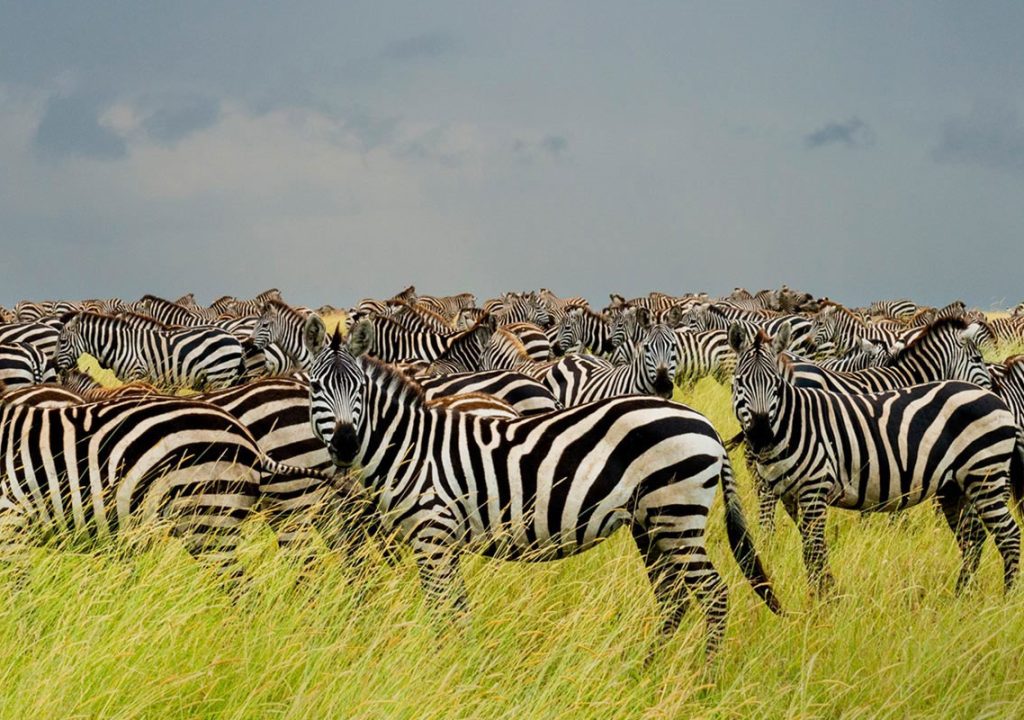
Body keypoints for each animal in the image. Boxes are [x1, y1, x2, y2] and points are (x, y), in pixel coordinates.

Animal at [54, 312, 245, 390]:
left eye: (62, 342)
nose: (54, 367)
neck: (120, 345)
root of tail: (234, 339)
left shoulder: (135, 374)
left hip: (220, 376)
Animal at [729, 324, 1022, 595]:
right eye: (739, 382)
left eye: (775, 384)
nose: (760, 434)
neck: (796, 421)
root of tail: (998, 403)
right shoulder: (794, 494)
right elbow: (813, 547)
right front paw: (824, 595)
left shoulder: (816, 489)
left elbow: (814, 550)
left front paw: (823, 601)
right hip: (957, 486)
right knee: (974, 537)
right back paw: (963, 595)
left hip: (984, 476)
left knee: (1008, 535)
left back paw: (1005, 597)